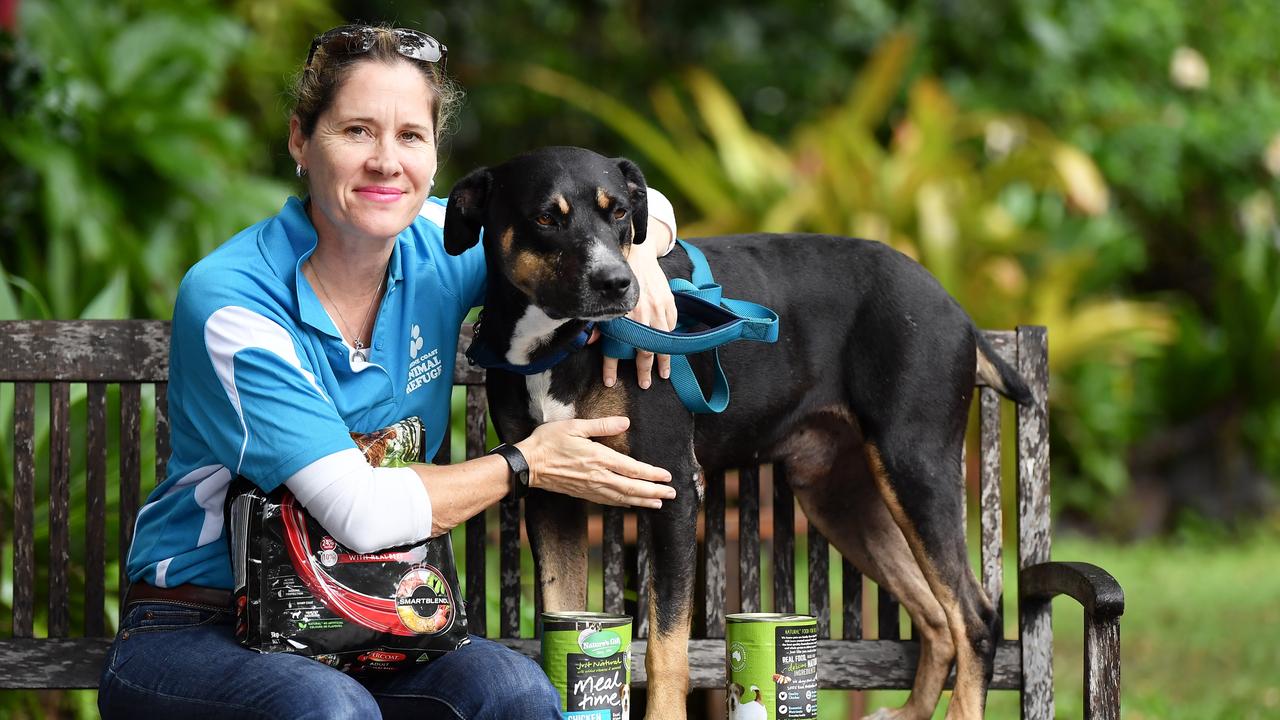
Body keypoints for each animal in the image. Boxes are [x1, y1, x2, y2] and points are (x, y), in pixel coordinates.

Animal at [445, 147, 1034, 717]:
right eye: (546, 217)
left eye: (619, 213)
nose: (618, 283)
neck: (560, 342)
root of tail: (956, 307)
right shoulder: (554, 494)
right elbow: (561, 619)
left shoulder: (674, 489)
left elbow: (665, 650)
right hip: (842, 499)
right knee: (936, 618)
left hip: (915, 467)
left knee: (974, 619)